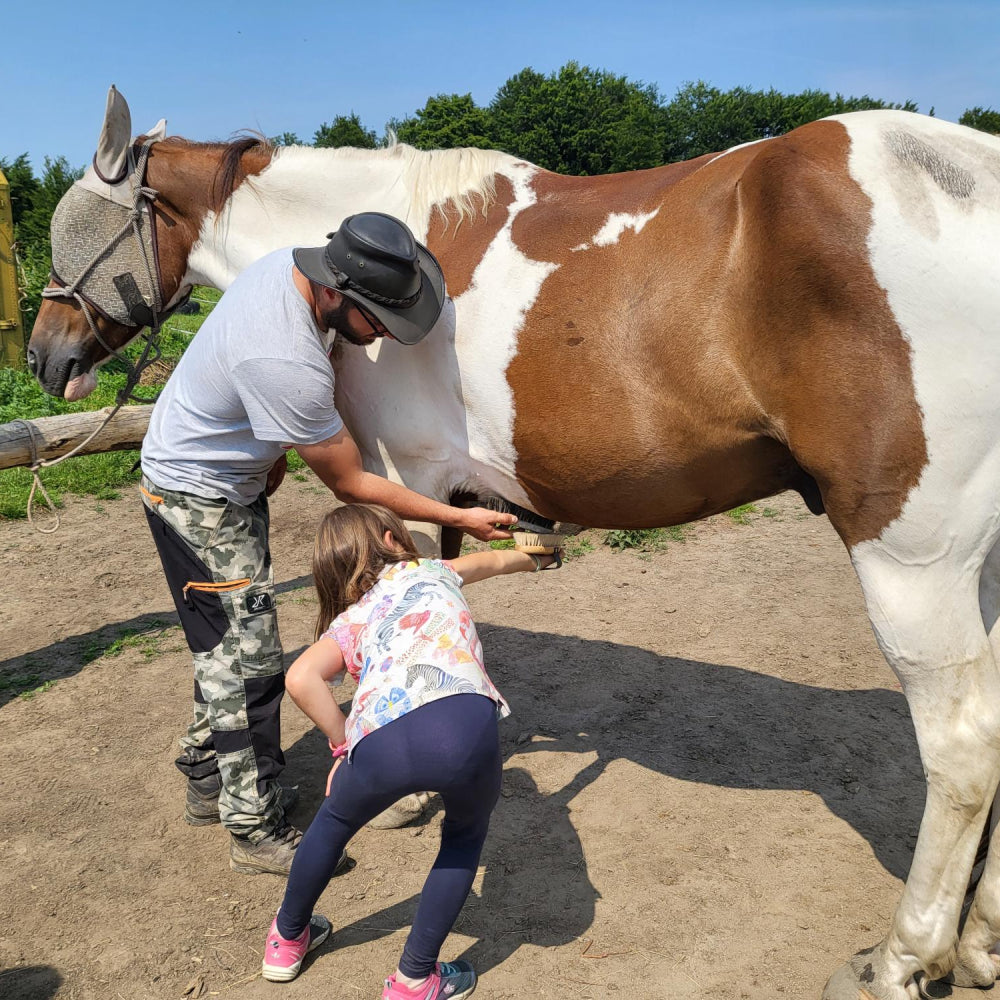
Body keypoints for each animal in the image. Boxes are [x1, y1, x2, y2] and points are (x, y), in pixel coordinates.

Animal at [27, 88, 1000, 1000]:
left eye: (71, 229)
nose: (44, 355)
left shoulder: (404, 477)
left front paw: (409, 790)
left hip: (912, 559)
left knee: (962, 753)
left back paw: (901, 959)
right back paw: (978, 945)